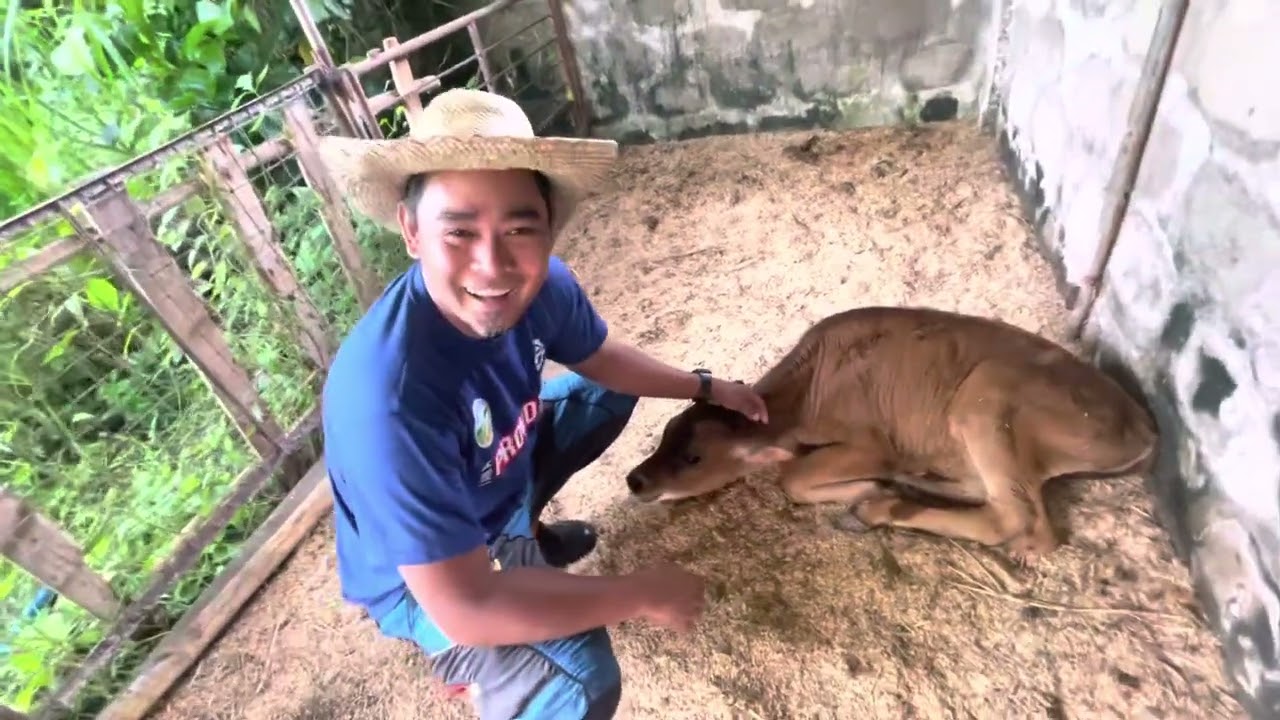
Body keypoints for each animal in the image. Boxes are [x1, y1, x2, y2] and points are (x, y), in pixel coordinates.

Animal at [623, 306, 1158, 564]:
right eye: (664, 434)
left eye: (694, 458)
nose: (635, 480)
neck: (806, 391)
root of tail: (1142, 424)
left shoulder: (869, 443)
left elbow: (791, 478)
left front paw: (866, 489)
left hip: (984, 403)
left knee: (1021, 522)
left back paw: (879, 506)